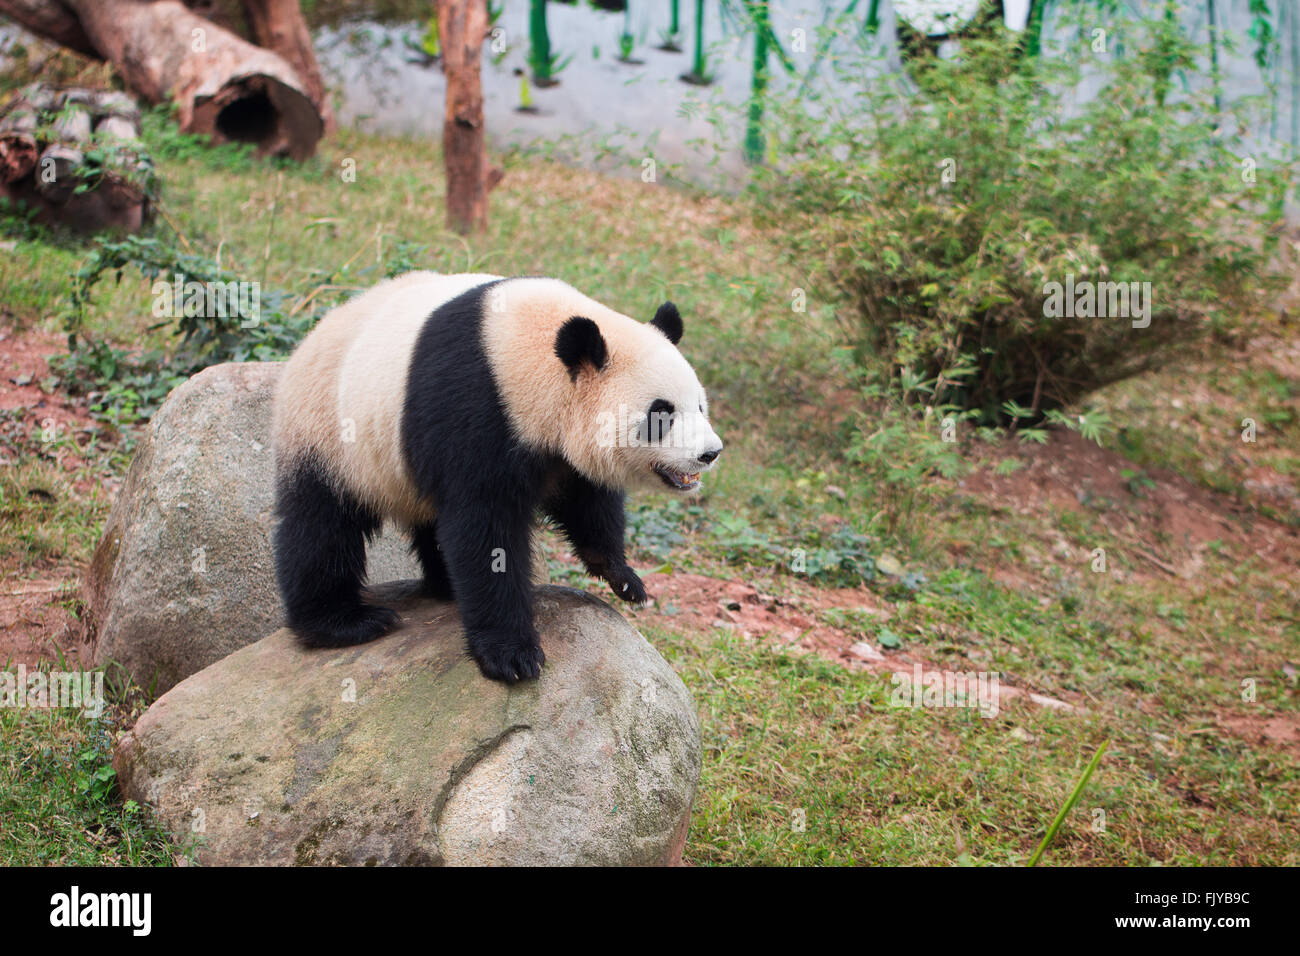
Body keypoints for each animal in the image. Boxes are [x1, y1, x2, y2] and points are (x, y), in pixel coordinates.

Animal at [271, 272, 723, 683]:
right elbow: (485, 530)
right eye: (661, 413)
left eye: (699, 406)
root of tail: (308, 340)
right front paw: (512, 656)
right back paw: (343, 623)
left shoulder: (555, 443)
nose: (710, 453)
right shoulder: (475, 405)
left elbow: (587, 499)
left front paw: (623, 577)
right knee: (321, 526)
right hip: (329, 431)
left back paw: (443, 585)